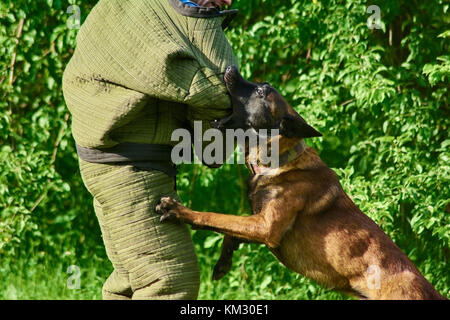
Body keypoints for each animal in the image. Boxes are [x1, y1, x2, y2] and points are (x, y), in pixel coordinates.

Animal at [156, 65, 444, 300]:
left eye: (261, 91)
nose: (230, 68)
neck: (279, 161)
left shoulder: (266, 227)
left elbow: (215, 217)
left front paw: (179, 211)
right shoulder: (260, 223)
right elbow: (229, 229)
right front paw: (224, 261)